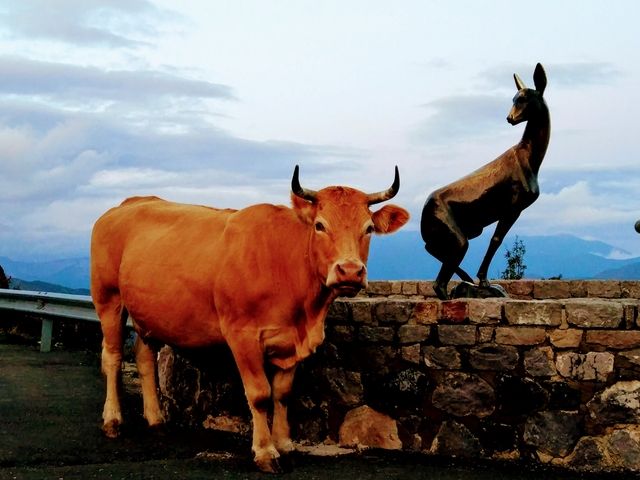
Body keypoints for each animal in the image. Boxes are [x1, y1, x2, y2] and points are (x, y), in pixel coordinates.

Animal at [90, 166, 410, 472]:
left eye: (368, 228)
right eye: (320, 225)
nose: (350, 271)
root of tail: (127, 204)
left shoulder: (291, 341)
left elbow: (282, 394)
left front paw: (286, 445)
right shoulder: (242, 336)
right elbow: (259, 394)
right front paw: (266, 452)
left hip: (147, 314)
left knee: (144, 359)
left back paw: (156, 421)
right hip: (109, 299)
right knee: (113, 357)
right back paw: (113, 420)